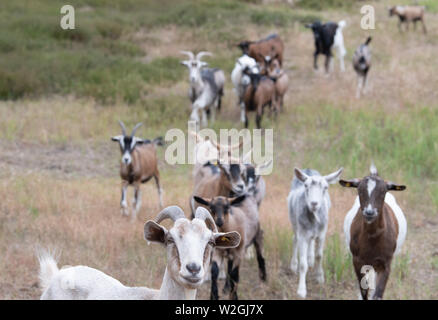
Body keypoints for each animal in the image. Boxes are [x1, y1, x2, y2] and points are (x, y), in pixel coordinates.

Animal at [288, 168, 346, 298]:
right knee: (294, 239)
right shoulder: (302, 234)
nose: (314, 203)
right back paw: (293, 265)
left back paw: (311, 259)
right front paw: (301, 291)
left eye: (326, 187)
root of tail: (308, 170)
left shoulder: (322, 234)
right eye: (306, 186)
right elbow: (303, 264)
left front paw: (320, 277)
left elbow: (319, 256)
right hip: (294, 223)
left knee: (311, 242)